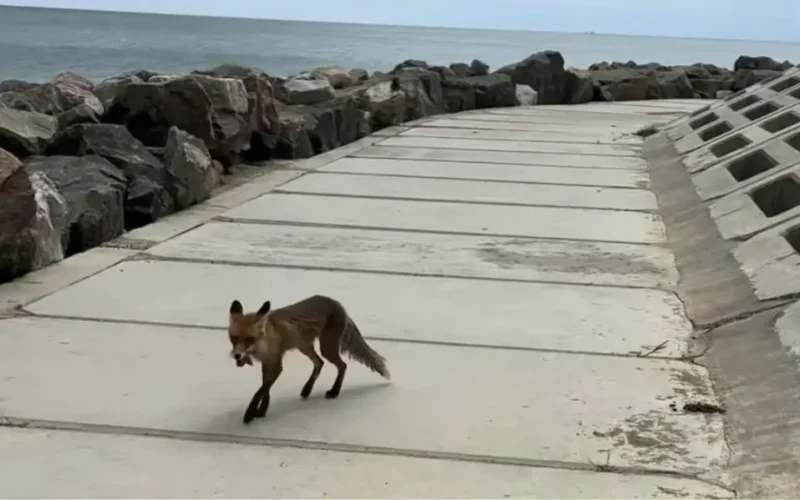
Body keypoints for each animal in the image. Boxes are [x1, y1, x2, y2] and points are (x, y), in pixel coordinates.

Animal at [227, 294, 391, 424]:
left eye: (249, 339)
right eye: (233, 338)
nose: (237, 355)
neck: (265, 343)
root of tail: (336, 303)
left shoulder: (277, 365)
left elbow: (260, 390)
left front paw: (250, 414)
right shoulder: (267, 364)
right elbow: (265, 389)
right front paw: (262, 410)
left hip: (326, 348)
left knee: (342, 365)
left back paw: (335, 391)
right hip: (305, 347)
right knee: (320, 363)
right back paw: (307, 389)